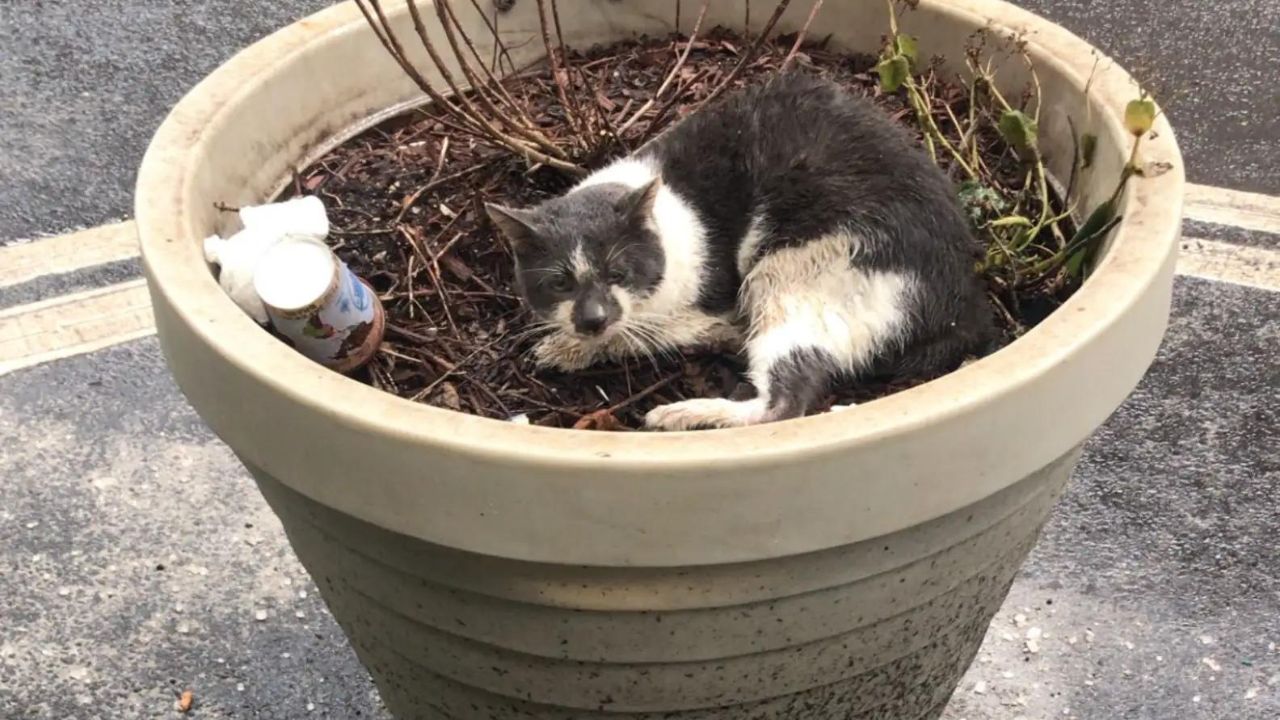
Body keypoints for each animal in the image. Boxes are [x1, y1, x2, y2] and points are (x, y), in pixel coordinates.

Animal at [483, 71, 993, 430]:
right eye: (558, 283)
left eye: (618, 273)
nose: (591, 319)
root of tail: (959, 302)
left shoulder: (712, 299)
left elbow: (648, 332)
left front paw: (568, 348)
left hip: (791, 271)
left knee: (785, 403)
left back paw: (685, 414)